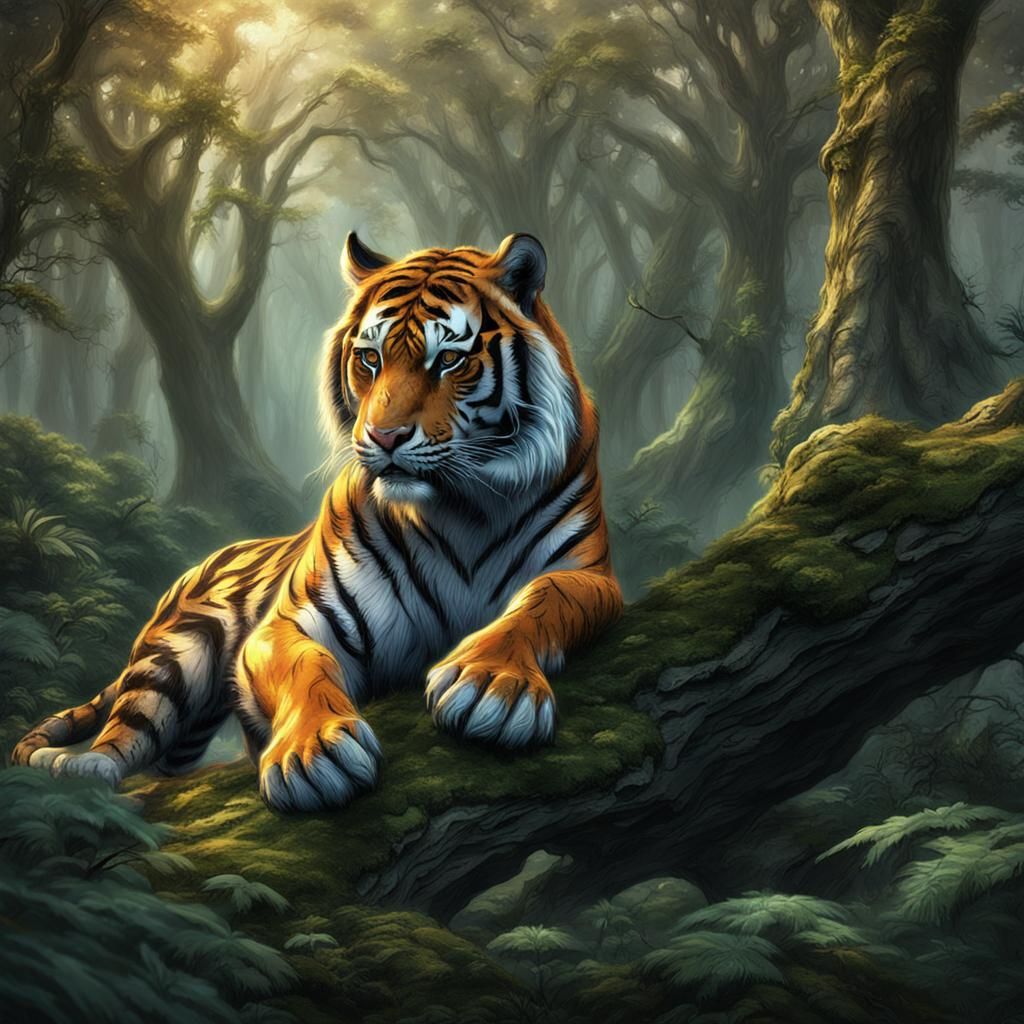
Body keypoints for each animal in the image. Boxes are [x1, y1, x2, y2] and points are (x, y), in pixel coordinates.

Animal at [13, 232, 623, 812]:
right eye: (371, 358)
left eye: (449, 361)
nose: (384, 437)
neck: (459, 507)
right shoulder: (291, 622)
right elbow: (305, 666)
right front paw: (313, 751)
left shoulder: (591, 577)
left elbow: (540, 601)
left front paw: (492, 682)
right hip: (170, 662)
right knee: (122, 738)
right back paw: (84, 770)